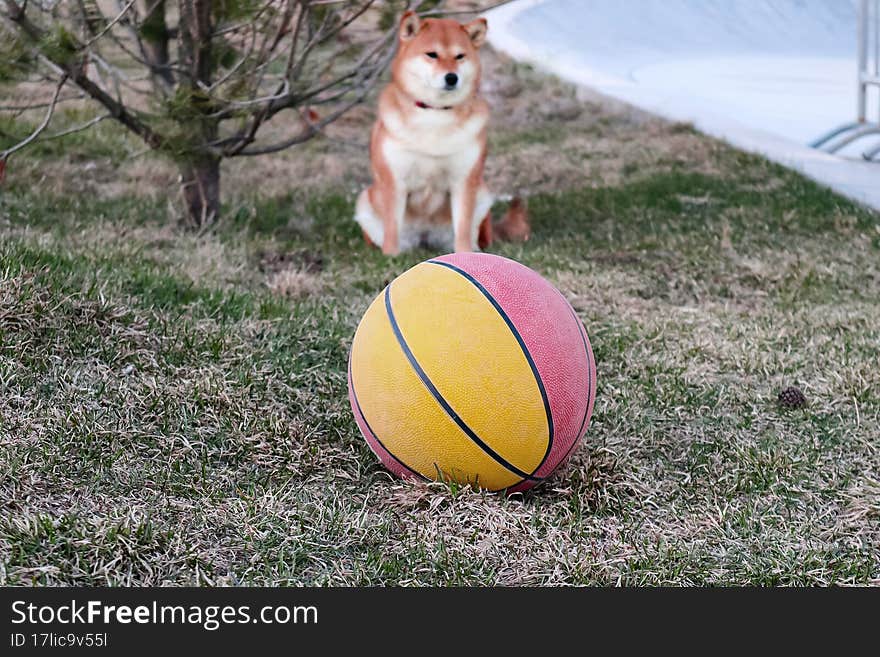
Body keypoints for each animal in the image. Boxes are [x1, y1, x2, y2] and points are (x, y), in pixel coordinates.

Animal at [352, 12, 528, 256]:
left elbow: (462, 227)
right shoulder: (395, 180)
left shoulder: (463, 180)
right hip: (366, 202)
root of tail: (425, 237)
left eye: (460, 56)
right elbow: (392, 227)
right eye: (432, 54)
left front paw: (465, 254)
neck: (435, 114)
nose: (451, 77)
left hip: (482, 196)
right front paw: (390, 255)